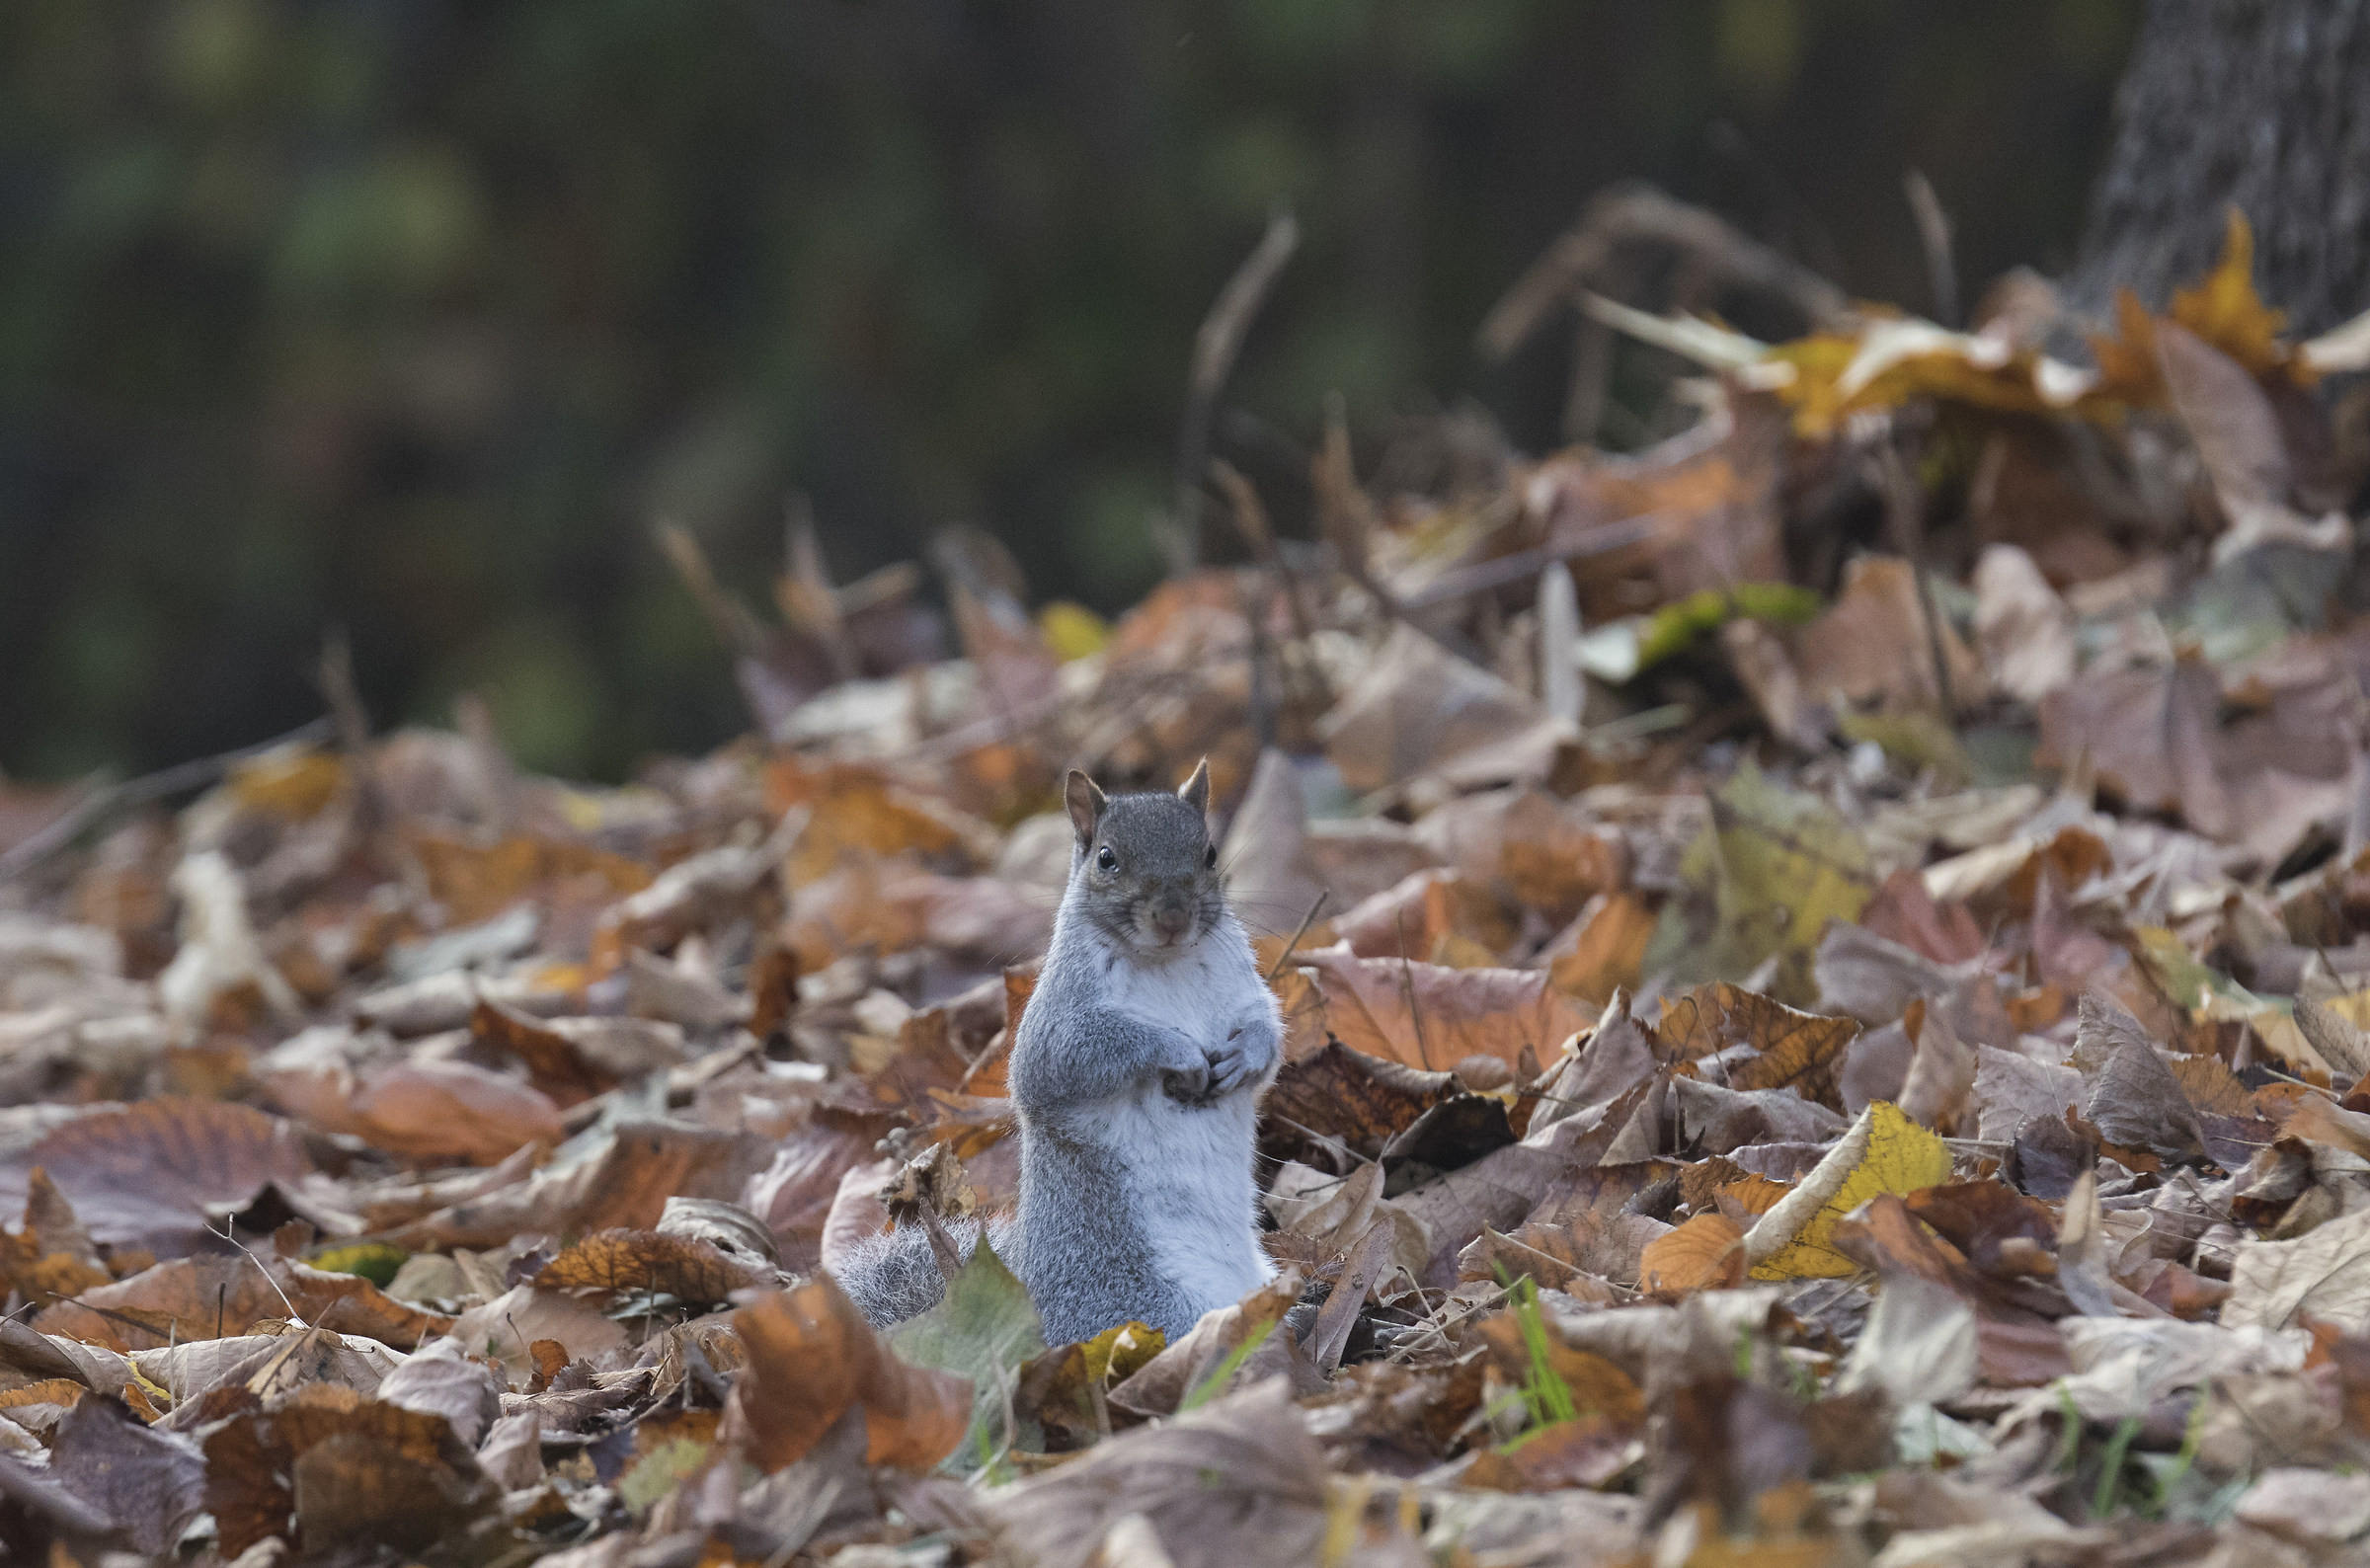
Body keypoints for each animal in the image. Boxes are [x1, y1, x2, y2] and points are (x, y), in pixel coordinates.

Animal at [830, 760, 1285, 1346]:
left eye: (1208, 852)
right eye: (1107, 859)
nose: (1173, 917)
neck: (1167, 963)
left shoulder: (1243, 990)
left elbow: (1267, 1033)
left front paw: (1247, 1056)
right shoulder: (1059, 1023)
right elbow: (1070, 1060)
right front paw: (1177, 1050)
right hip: (1146, 1310)